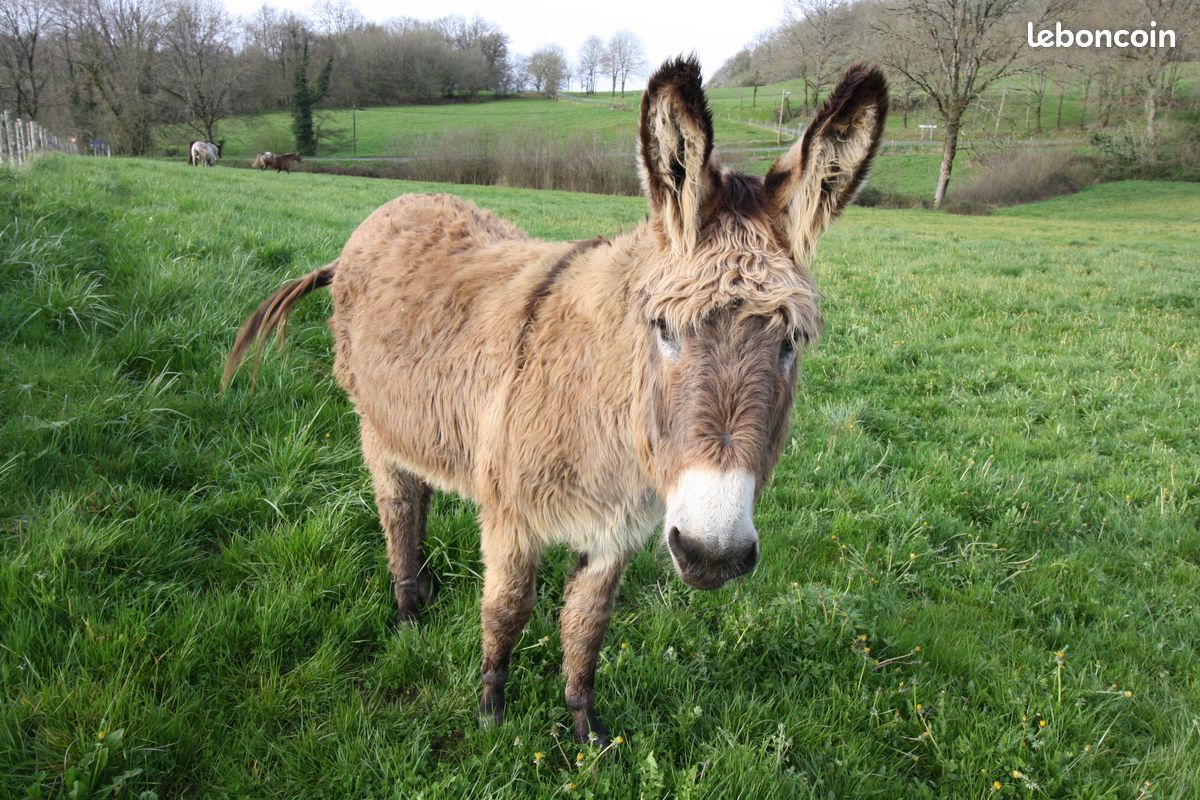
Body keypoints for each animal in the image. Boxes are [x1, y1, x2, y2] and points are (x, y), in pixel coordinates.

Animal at [224, 57, 887, 744]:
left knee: (423, 490)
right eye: (663, 328)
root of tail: (386, 211)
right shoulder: (512, 516)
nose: (714, 553)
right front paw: (491, 710)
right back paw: (408, 606)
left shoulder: (613, 533)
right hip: (375, 425)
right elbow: (507, 610)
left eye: (791, 341)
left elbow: (586, 629)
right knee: (398, 508)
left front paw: (586, 728)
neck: (601, 403)